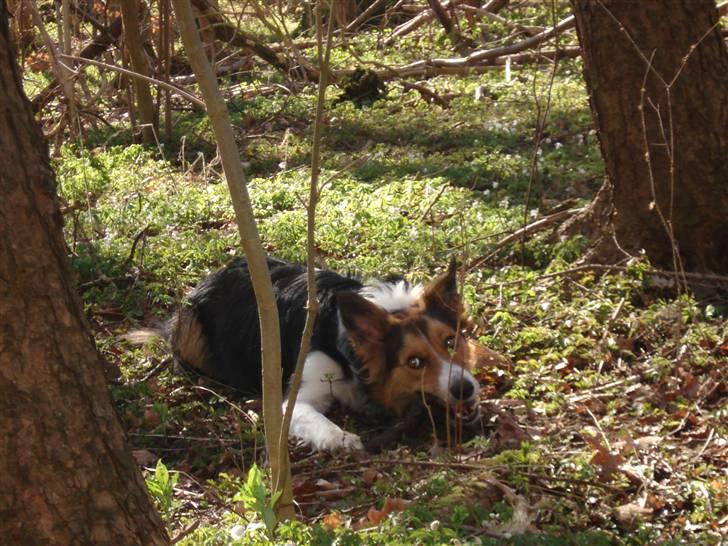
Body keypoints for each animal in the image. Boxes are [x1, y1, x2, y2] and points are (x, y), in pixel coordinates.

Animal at [151, 258, 500, 448]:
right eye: (415, 362)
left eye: (451, 343)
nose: (464, 389)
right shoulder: (296, 398)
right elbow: (318, 421)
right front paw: (343, 439)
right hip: (192, 326)